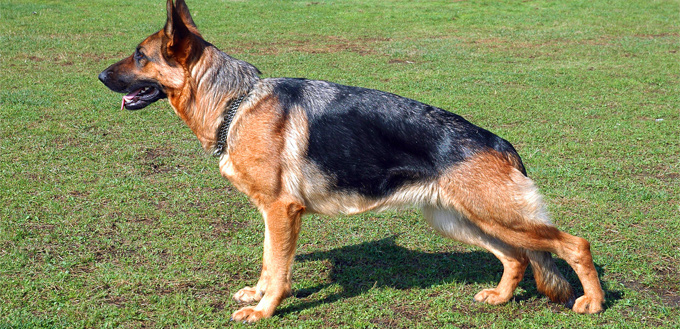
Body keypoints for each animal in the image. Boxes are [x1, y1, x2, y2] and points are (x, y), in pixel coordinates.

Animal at [98, 0, 604, 322]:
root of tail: (498, 142)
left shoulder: (282, 211)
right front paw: (258, 294)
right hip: (460, 219)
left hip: (497, 215)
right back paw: (500, 297)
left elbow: (279, 270)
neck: (234, 102)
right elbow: (267, 261)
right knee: (516, 257)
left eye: (140, 56)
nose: (99, 75)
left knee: (575, 244)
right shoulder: (270, 214)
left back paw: (594, 303)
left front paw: (263, 310)